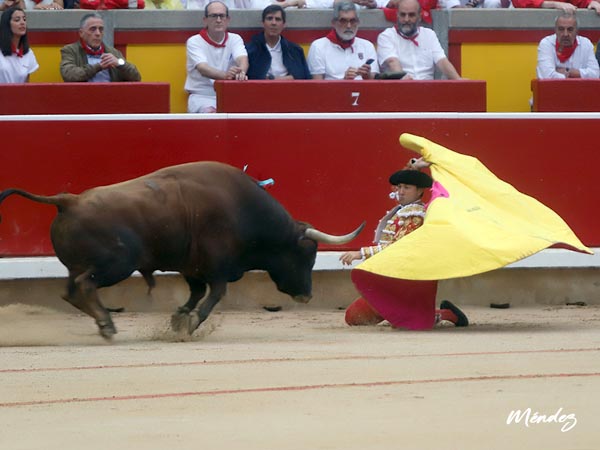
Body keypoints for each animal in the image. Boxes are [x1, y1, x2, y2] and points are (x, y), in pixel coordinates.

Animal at [0, 162, 366, 338]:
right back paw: (107, 323)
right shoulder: (217, 267)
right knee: (84, 286)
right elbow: (214, 295)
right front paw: (190, 324)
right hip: (115, 264)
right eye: (308, 255)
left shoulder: (193, 267)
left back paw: (104, 323)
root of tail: (68, 201)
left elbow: (196, 293)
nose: (307, 295)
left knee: (70, 291)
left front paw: (178, 319)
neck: (243, 209)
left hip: (80, 265)